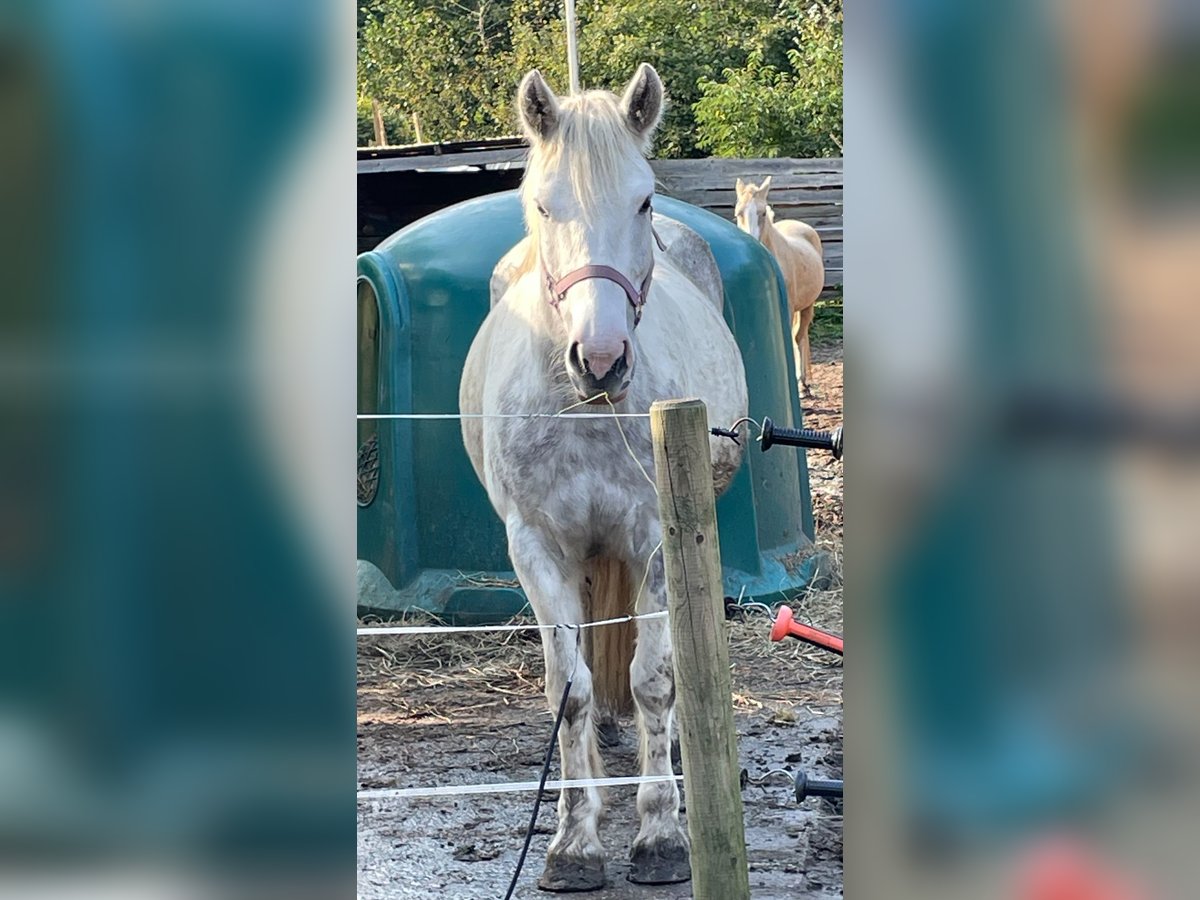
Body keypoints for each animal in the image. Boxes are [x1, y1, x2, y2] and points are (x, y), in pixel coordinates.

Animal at [463, 65, 744, 897]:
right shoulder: (537, 548)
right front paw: (574, 843)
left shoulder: (654, 540)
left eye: (644, 200)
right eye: (542, 203)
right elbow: (572, 689)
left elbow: (654, 678)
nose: (602, 358)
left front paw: (660, 833)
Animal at [729, 176, 825, 398]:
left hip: (808, 306)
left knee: (799, 337)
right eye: (738, 213)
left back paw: (803, 384)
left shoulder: (788, 310)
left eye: (763, 212)